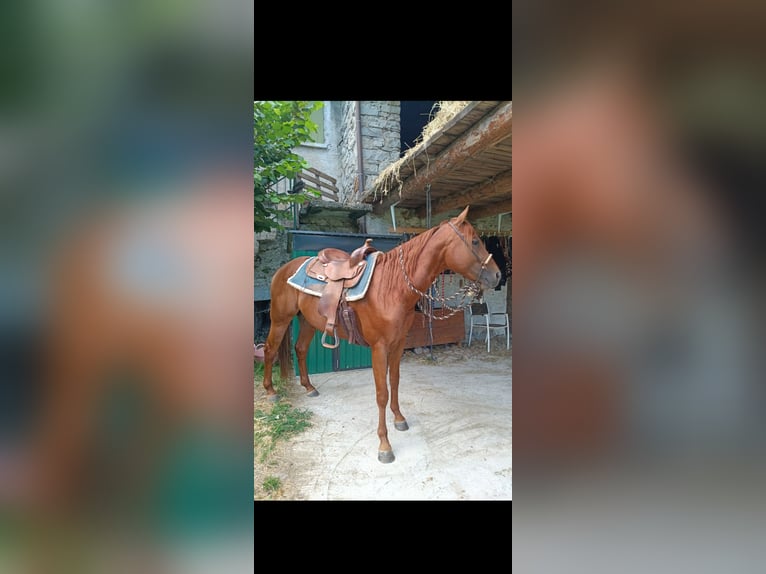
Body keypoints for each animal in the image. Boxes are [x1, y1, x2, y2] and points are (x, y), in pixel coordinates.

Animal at [261, 205, 502, 463]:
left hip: (308, 321)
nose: (498, 276)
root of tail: (283, 269)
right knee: (269, 349)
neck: (392, 287)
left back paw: (309, 388)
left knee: (300, 349)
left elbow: (394, 382)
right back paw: (270, 392)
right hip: (280, 319)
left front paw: (399, 419)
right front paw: (385, 445)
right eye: (475, 241)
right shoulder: (379, 348)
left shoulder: (398, 344)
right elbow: (382, 393)